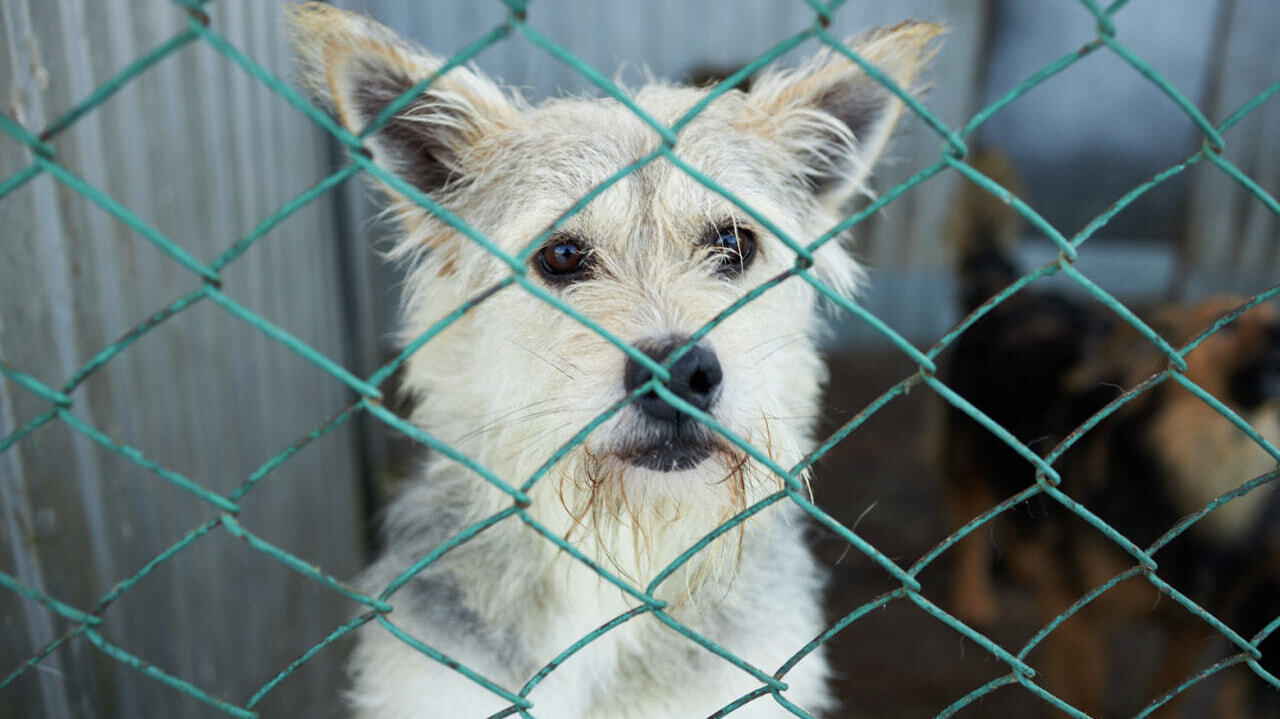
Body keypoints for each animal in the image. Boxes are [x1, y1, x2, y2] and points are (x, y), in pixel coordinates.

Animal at [936, 149, 1274, 711]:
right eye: (1227, 324)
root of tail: (1013, 293)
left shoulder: (1190, 629)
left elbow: (1170, 699)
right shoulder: (1084, 622)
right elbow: (1086, 696)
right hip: (969, 449)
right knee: (971, 522)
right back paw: (974, 596)